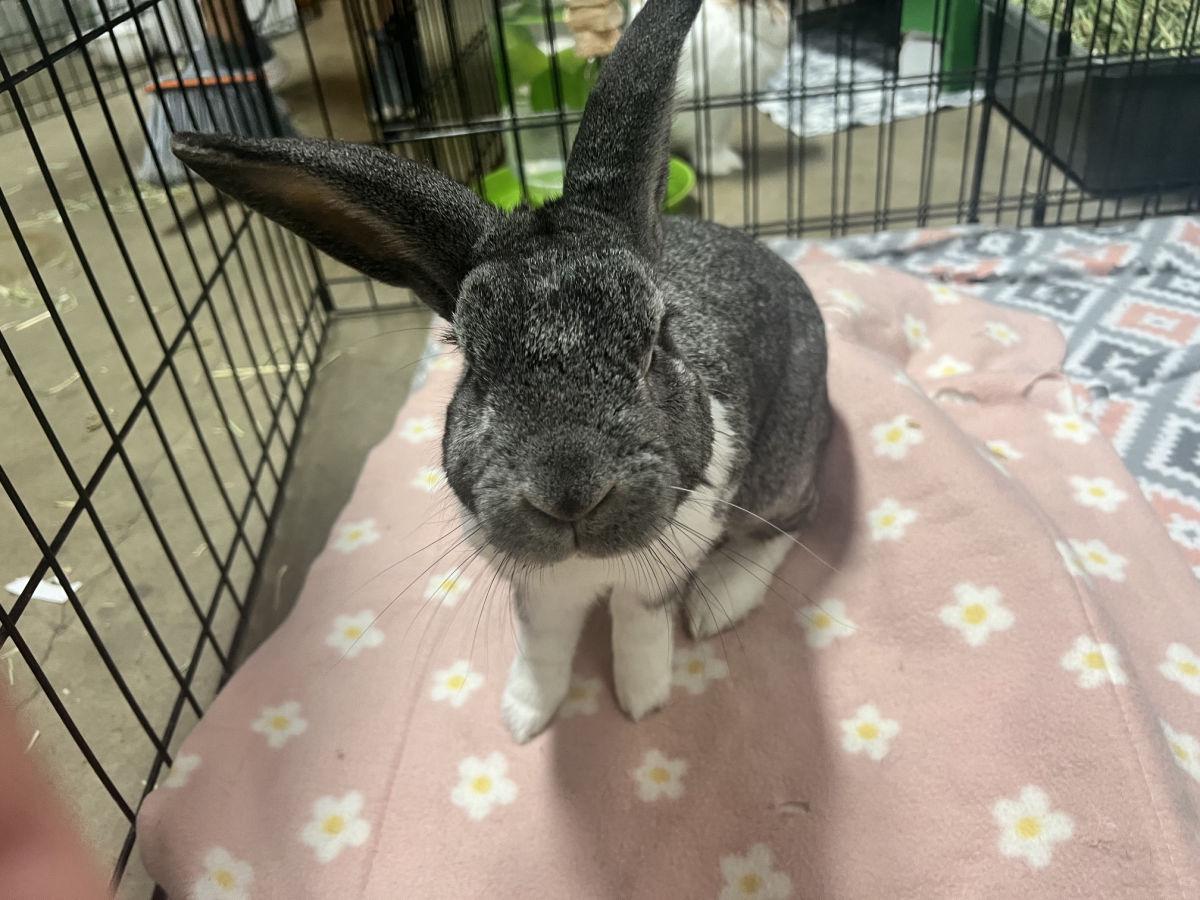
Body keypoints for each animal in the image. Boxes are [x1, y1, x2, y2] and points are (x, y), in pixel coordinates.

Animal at [170, 0, 830, 743]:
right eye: (470, 360)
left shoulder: (660, 570)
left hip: (782, 466)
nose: (569, 494)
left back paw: (720, 600)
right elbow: (542, 644)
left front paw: (642, 698)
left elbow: (638, 627)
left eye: (655, 339)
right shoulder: (536, 592)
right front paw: (525, 714)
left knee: (792, 520)